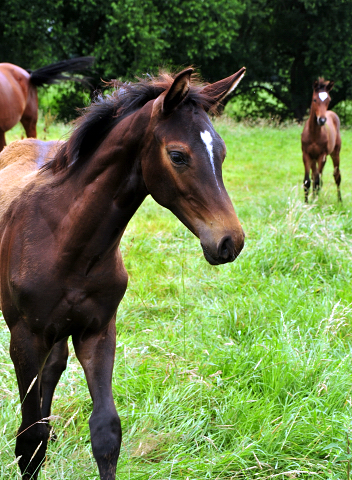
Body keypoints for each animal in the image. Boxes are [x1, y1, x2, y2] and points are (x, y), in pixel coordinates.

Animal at [0, 66, 246, 480]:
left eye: (222, 153)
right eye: (177, 155)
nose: (231, 241)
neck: (67, 241)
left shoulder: (98, 330)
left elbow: (106, 431)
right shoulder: (25, 338)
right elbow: (28, 443)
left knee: (55, 367)